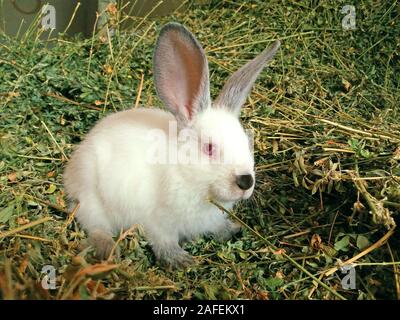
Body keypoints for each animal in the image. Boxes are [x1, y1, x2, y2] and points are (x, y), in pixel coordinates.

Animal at [63, 21, 282, 268]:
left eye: (246, 143)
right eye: (209, 148)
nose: (246, 181)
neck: (189, 177)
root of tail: (69, 174)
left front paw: (232, 230)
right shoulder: (156, 222)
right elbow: (163, 242)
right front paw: (182, 260)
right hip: (92, 199)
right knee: (96, 227)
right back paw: (107, 249)